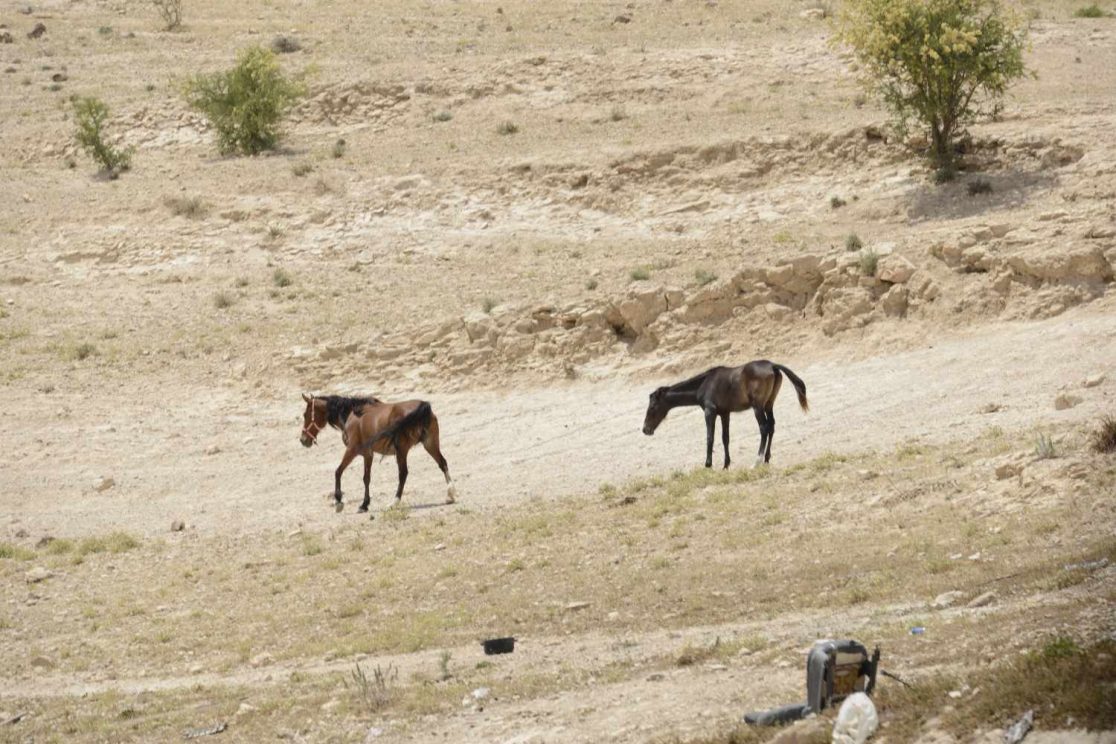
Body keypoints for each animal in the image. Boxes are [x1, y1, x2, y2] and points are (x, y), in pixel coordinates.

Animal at [300, 393, 457, 514]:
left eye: (305, 415)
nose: (303, 440)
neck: (352, 415)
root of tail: (423, 406)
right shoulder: (368, 454)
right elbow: (366, 478)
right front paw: (364, 505)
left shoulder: (352, 450)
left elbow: (338, 471)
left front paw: (338, 502)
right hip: (430, 444)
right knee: (442, 463)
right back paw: (451, 494)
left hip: (402, 450)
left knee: (403, 473)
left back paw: (394, 502)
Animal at [642, 360, 808, 469]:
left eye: (652, 407)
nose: (645, 429)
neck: (704, 384)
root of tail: (772, 365)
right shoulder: (724, 413)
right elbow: (725, 438)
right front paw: (726, 464)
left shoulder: (710, 412)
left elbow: (710, 437)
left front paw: (708, 464)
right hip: (769, 404)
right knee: (772, 426)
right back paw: (766, 459)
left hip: (758, 407)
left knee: (764, 428)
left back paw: (757, 461)